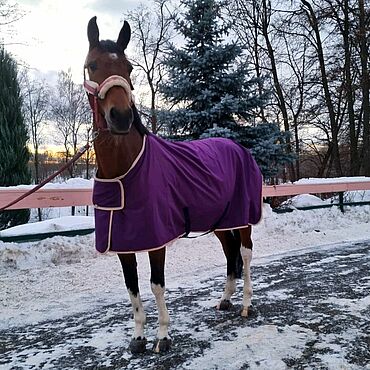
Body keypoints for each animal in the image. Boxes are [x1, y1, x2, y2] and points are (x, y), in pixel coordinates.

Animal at [84, 15, 264, 354]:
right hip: (220, 222)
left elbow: (156, 285)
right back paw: (225, 300)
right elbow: (132, 288)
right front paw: (138, 337)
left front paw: (163, 337)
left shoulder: (156, 241)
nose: (121, 117)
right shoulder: (124, 244)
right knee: (229, 252)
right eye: (92, 65)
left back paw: (247, 304)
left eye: (129, 68)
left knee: (245, 255)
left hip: (243, 217)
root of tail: (238, 148)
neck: (124, 171)